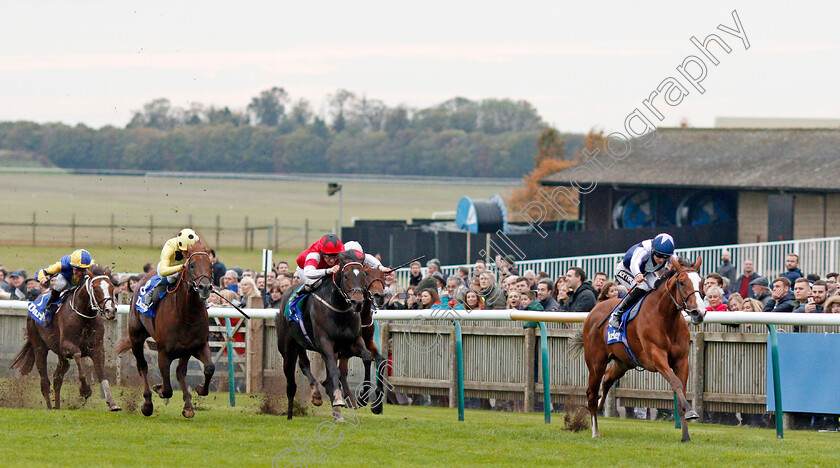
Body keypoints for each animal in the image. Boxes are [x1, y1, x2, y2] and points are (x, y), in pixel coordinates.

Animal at [11, 266, 121, 412]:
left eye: (112, 287)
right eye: (95, 288)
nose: (110, 311)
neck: (84, 316)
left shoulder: (97, 348)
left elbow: (101, 373)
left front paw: (112, 402)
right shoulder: (67, 346)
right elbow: (78, 354)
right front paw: (85, 390)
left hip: (61, 356)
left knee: (57, 379)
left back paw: (57, 408)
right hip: (39, 346)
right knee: (44, 381)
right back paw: (50, 408)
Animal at [116, 241, 215, 416]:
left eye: (210, 265)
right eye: (192, 265)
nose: (205, 287)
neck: (187, 314)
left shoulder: (197, 345)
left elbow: (209, 367)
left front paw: (199, 390)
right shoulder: (163, 351)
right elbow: (167, 389)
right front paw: (159, 389)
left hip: (184, 351)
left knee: (180, 371)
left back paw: (188, 405)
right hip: (136, 336)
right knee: (142, 366)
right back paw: (147, 404)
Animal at [278, 250, 372, 422]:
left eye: (364, 275)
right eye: (346, 276)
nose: (357, 303)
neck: (338, 308)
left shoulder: (352, 343)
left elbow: (367, 357)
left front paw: (363, 397)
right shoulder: (325, 343)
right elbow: (334, 370)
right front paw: (339, 398)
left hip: (301, 345)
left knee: (305, 365)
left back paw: (318, 396)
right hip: (288, 350)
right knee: (291, 383)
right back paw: (290, 414)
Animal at [576, 256, 704, 442]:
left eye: (701, 282)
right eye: (681, 282)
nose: (698, 312)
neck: (665, 317)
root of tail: (593, 311)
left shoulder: (682, 360)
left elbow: (681, 388)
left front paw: (686, 434)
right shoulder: (656, 356)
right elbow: (676, 383)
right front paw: (690, 413)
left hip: (623, 363)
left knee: (606, 380)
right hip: (595, 363)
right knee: (591, 394)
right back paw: (595, 431)